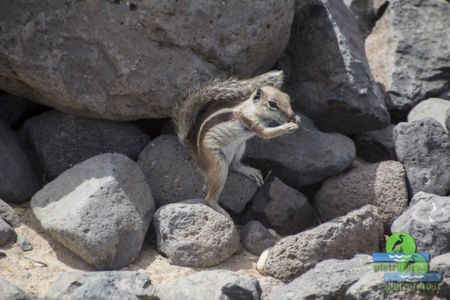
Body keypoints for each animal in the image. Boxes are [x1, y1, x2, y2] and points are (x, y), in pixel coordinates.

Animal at [171, 70, 300, 217]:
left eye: (288, 98)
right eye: (272, 104)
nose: (291, 115)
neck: (252, 108)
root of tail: (198, 155)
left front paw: (297, 119)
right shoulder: (248, 119)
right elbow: (265, 133)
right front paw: (286, 127)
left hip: (240, 146)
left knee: (234, 164)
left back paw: (248, 171)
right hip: (216, 163)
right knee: (209, 197)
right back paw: (221, 210)